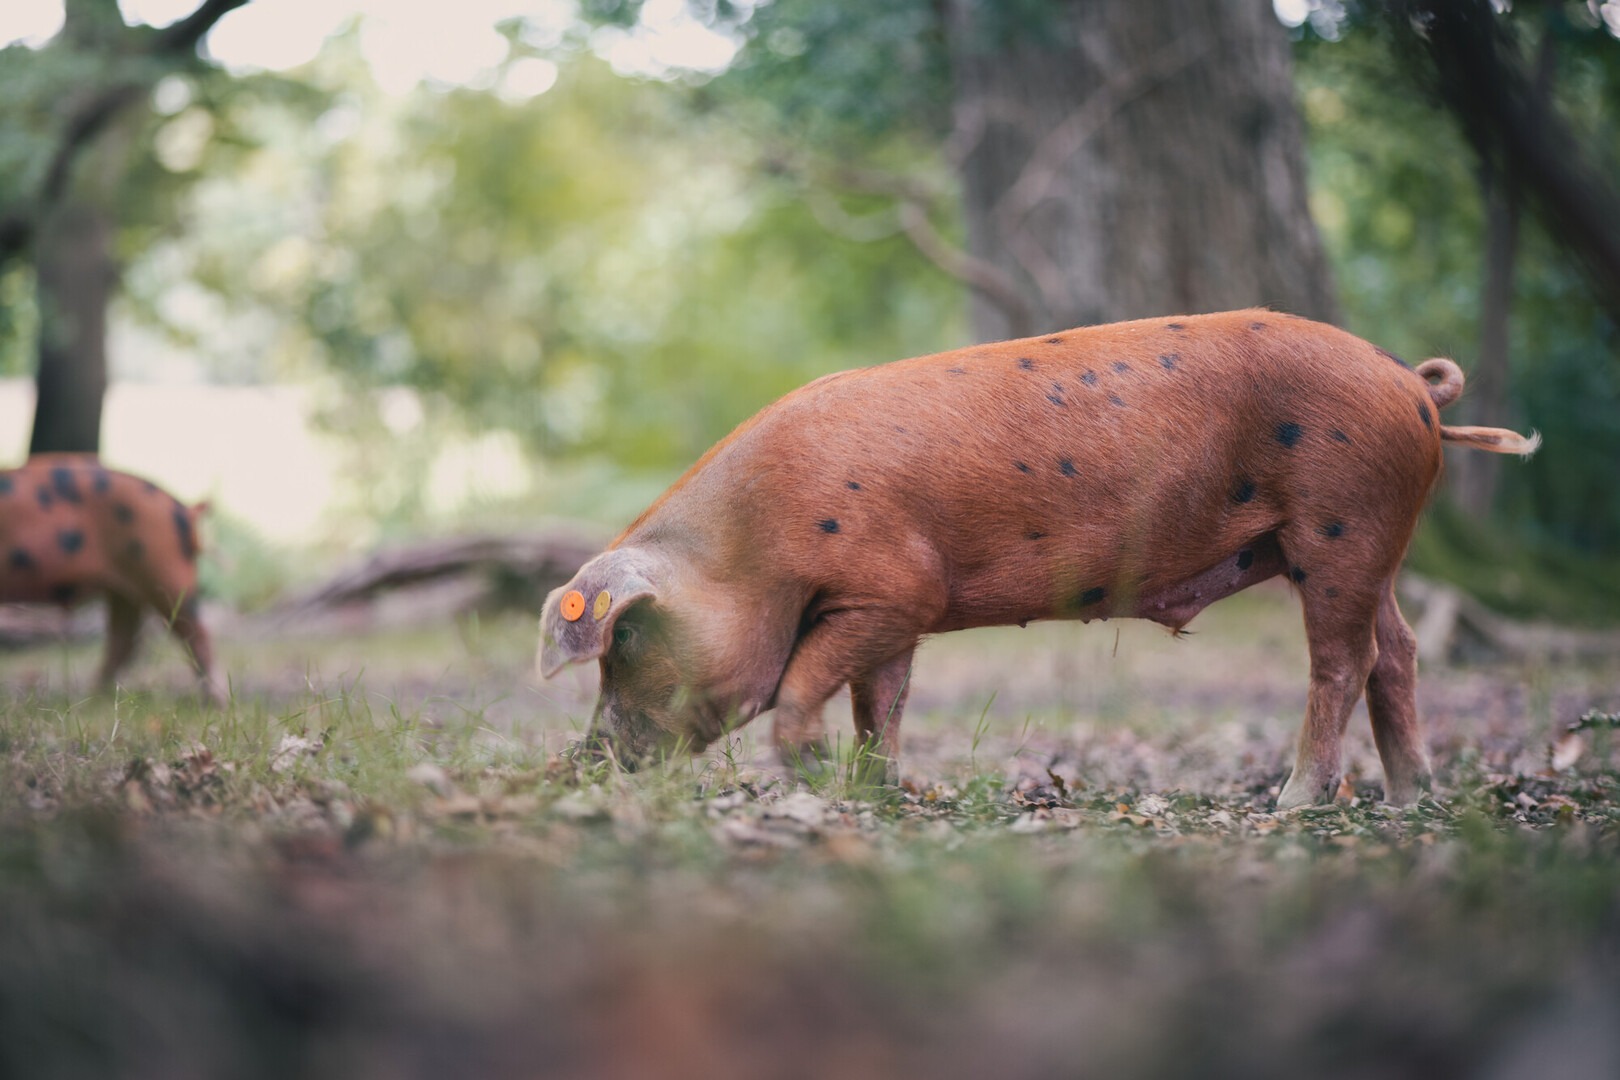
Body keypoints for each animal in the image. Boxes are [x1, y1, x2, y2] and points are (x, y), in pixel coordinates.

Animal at [0, 453, 223, 702]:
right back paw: (94, 696)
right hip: (123, 590)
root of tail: (184, 509)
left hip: (165, 572)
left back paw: (215, 701)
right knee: (124, 639)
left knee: (197, 633)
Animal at [537, 310, 1539, 808]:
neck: (755, 549)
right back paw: (1410, 799)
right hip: (1364, 547)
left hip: (1342, 525)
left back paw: (1295, 803)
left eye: (627, 642)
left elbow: (800, 687)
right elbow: (881, 703)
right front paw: (883, 790)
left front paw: (814, 779)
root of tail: (1411, 383)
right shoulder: (899, 614)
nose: (587, 758)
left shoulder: (890, 591)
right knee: (1398, 651)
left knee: (1342, 660)